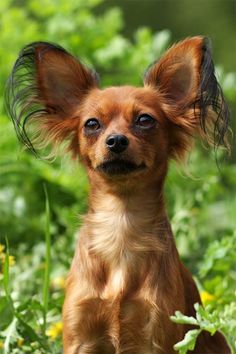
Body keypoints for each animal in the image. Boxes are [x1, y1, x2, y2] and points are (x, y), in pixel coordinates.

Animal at [6, 36, 231, 354]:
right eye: (92, 124)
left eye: (145, 120)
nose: (115, 141)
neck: (120, 223)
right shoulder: (80, 336)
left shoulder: (157, 335)